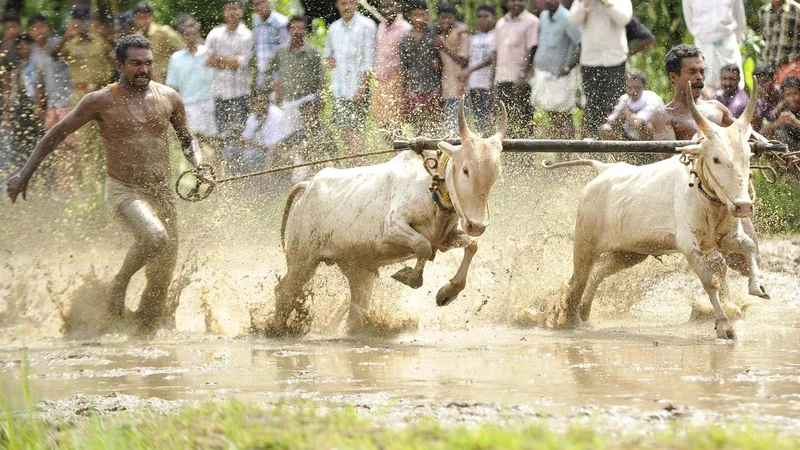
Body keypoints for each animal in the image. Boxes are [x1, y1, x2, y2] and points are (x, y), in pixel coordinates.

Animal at [275, 99, 507, 334]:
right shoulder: (393, 227)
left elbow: (472, 246)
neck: (431, 188)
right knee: (283, 292)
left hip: (358, 269)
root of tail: (307, 186)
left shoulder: (445, 239)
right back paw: (276, 327)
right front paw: (407, 276)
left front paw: (447, 292)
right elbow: (422, 247)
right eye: (466, 170)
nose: (477, 226)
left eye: (495, 174)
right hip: (302, 262)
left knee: (356, 312)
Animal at [543, 82, 768, 339]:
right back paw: (570, 320)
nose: (743, 205)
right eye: (716, 159)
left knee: (598, 273)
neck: (706, 198)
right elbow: (710, 280)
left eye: (748, 156)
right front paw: (723, 326)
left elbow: (749, 246)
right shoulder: (688, 245)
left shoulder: (728, 237)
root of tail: (603, 169)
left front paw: (758, 286)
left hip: (629, 253)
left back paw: (584, 312)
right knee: (577, 283)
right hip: (584, 246)